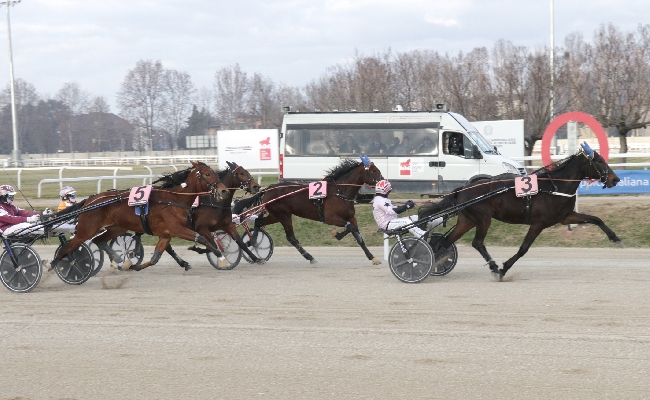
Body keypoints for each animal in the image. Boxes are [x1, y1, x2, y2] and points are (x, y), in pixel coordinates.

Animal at [53, 162, 230, 272]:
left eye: (215, 173)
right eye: (208, 174)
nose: (224, 190)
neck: (174, 200)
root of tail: (89, 201)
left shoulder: (166, 234)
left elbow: (156, 257)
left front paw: (133, 266)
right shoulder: (177, 229)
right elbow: (203, 238)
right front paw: (222, 258)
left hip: (117, 227)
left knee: (99, 240)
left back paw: (119, 259)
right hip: (86, 231)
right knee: (68, 248)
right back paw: (55, 265)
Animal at [233, 157, 382, 266]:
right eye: (374, 170)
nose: (383, 181)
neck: (340, 191)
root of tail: (267, 189)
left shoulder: (350, 217)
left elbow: (357, 234)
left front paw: (372, 257)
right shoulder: (330, 217)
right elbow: (350, 228)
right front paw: (337, 234)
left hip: (276, 215)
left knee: (258, 221)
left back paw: (253, 241)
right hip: (283, 215)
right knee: (291, 237)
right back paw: (309, 257)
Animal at [418, 144, 620, 282]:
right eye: (599, 161)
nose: (615, 179)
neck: (554, 187)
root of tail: (464, 188)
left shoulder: (565, 217)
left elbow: (595, 219)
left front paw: (615, 238)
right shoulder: (538, 223)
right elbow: (524, 248)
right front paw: (504, 268)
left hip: (467, 220)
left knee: (445, 241)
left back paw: (432, 262)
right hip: (483, 218)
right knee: (477, 243)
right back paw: (494, 267)